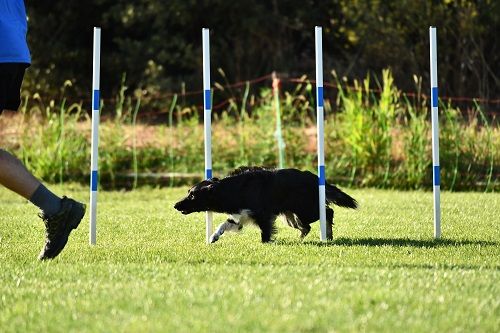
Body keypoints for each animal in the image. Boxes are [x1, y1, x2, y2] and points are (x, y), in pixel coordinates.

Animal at [174, 165, 358, 241]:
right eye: (188, 192)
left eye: (192, 196)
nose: (175, 205)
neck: (233, 189)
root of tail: (314, 177)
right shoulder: (239, 216)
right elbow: (223, 225)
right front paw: (213, 237)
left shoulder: (262, 215)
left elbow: (265, 233)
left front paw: (266, 244)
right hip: (292, 217)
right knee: (306, 227)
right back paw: (301, 239)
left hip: (305, 210)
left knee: (328, 212)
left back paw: (328, 235)